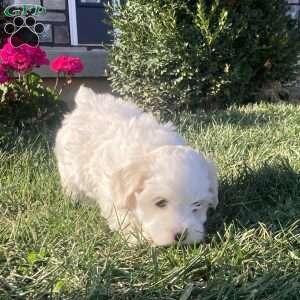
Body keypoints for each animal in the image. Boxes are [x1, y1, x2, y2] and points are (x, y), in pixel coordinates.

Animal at [54, 85, 218, 245]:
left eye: (197, 204)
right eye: (160, 202)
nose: (181, 235)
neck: (150, 150)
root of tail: (87, 100)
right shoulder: (112, 195)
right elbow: (123, 216)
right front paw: (138, 239)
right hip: (68, 168)